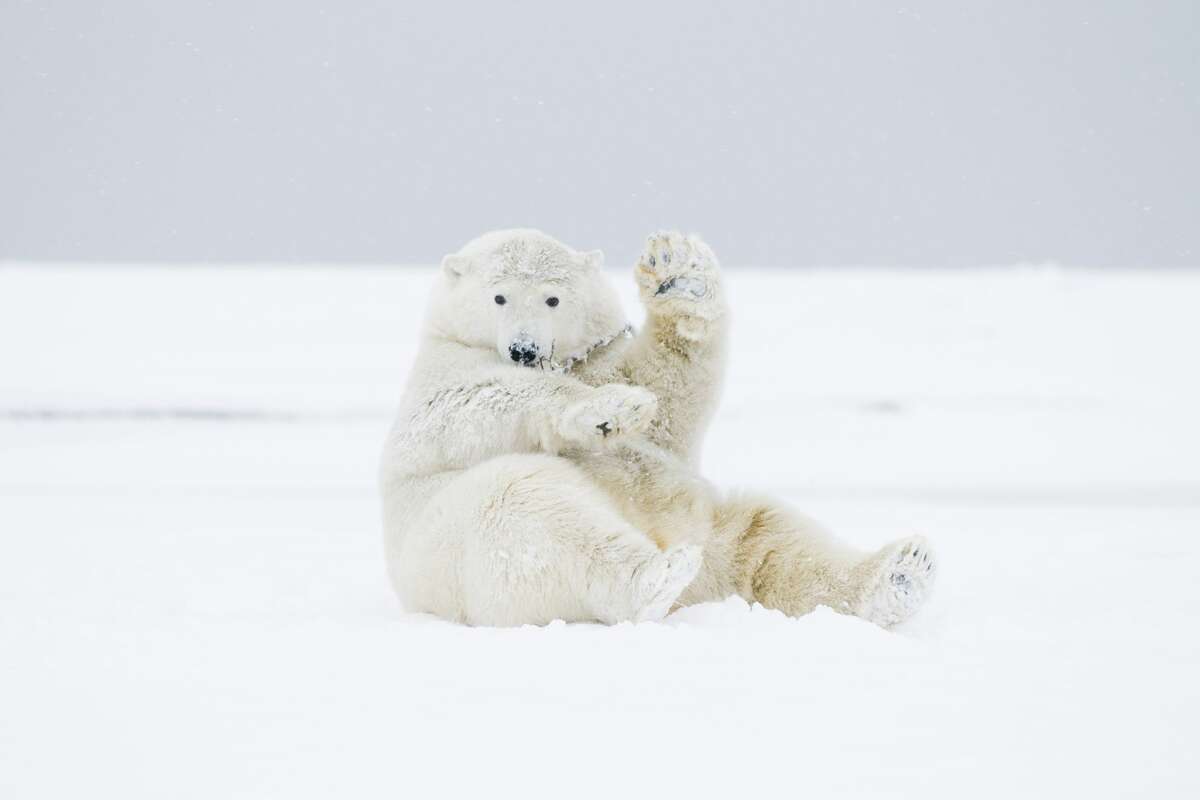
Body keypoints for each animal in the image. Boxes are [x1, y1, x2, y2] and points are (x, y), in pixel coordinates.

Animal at [379, 227, 931, 628]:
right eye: (498, 297)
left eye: (553, 299)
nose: (524, 349)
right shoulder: (441, 370)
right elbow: (459, 407)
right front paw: (609, 409)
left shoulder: (603, 360)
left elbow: (669, 397)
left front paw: (677, 271)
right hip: (472, 556)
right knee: (526, 508)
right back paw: (656, 576)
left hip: (710, 521)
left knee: (773, 539)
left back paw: (898, 574)